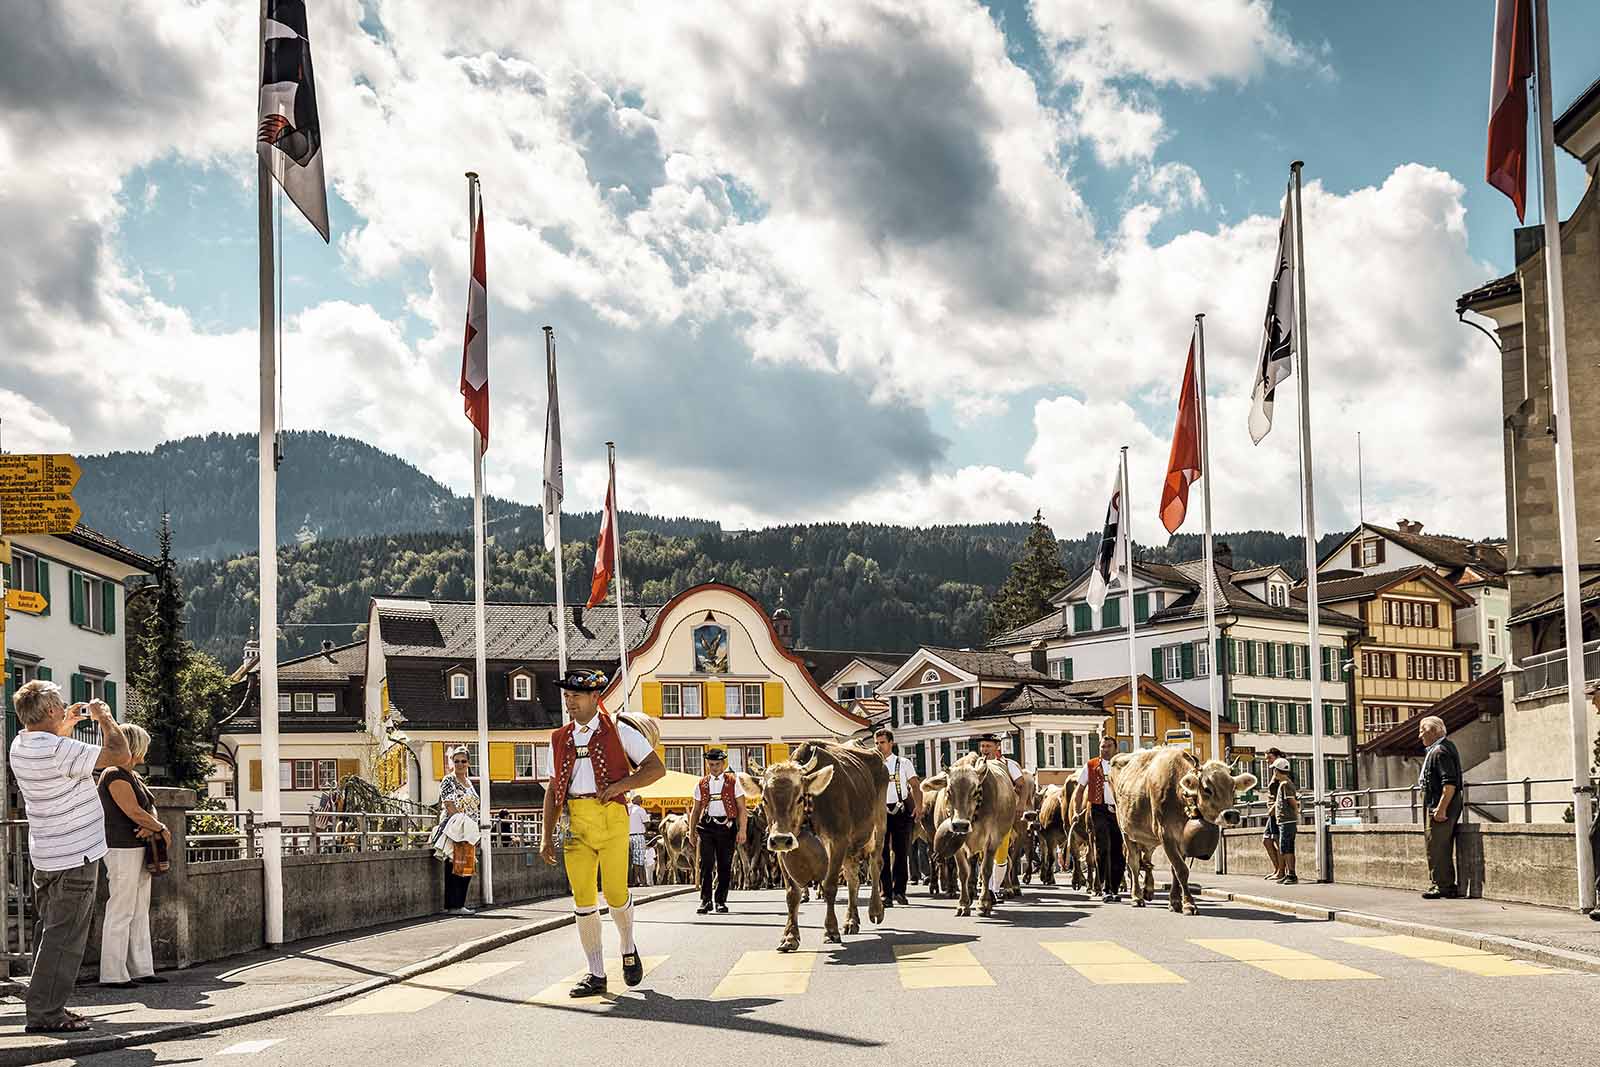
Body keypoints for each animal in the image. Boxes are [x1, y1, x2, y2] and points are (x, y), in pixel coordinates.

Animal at [736, 742, 889, 953]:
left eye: (800, 797)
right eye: (764, 799)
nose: (781, 838)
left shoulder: (838, 841)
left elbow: (830, 885)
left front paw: (831, 930)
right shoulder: (782, 851)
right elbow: (792, 894)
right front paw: (790, 936)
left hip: (878, 827)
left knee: (875, 865)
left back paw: (875, 910)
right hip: (850, 851)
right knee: (853, 879)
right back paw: (851, 921)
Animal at [928, 751, 1011, 921]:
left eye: (976, 791)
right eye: (949, 791)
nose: (960, 825)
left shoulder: (992, 840)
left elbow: (986, 870)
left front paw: (984, 904)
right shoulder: (958, 847)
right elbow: (963, 872)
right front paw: (963, 904)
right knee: (970, 865)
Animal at [1107, 748, 1254, 915]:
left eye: (1233, 788)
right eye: (1207, 789)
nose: (1232, 814)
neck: (1179, 793)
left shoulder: (1181, 839)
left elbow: (1175, 869)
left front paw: (1175, 902)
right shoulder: (1166, 835)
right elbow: (1181, 870)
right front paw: (1189, 904)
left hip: (1147, 837)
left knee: (1146, 860)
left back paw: (1148, 890)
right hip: (1125, 831)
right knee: (1133, 863)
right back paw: (1137, 897)